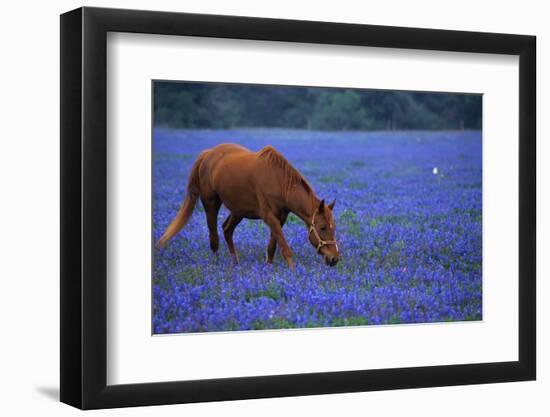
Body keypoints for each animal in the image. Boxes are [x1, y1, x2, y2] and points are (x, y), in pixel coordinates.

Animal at [155, 142, 340, 266]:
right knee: (214, 237)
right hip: (211, 203)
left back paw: (235, 263)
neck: (279, 183)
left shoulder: (280, 218)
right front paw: (293, 275)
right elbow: (285, 249)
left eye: (333, 227)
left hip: (239, 210)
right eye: (322, 227)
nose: (334, 258)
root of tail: (207, 154)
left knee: (227, 229)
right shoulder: (269, 217)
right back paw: (215, 266)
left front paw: (270, 270)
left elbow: (272, 248)